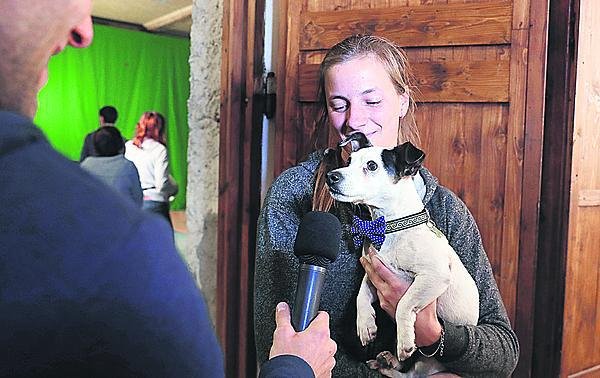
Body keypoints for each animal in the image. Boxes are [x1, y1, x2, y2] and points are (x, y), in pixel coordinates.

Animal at [324, 133, 478, 376]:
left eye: (372, 166)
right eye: (349, 161)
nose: (331, 176)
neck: (389, 227)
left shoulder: (433, 277)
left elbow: (404, 303)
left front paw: (405, 340)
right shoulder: (373, 271)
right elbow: (361, 295)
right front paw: (365, 325)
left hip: (427, 363)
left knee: (411, 373)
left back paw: (392, 362)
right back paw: (387, 360)